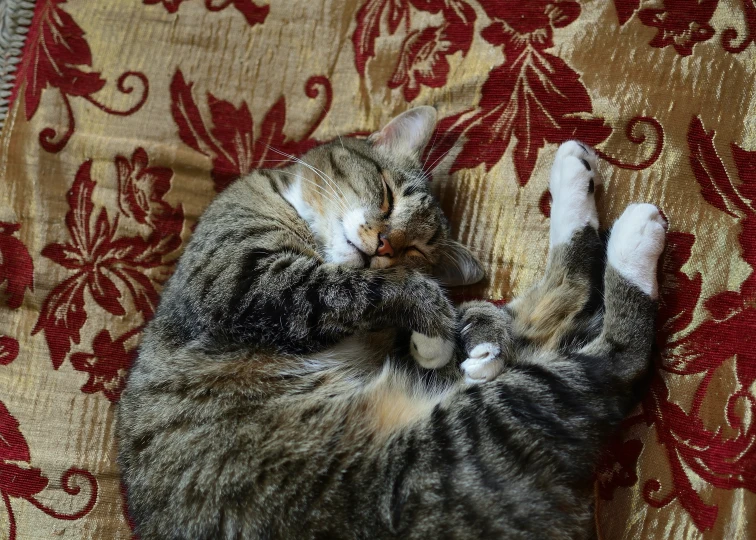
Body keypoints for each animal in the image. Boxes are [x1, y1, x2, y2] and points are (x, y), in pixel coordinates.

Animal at [118, 106, 668, 540]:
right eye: (387, 195)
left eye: (416, 249)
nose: (384, 245)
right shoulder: (245, 280)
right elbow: (367, 289)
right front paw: (438, 325)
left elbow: (396, 295)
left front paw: (451, 334)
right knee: (598, 351)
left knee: (601, 345)